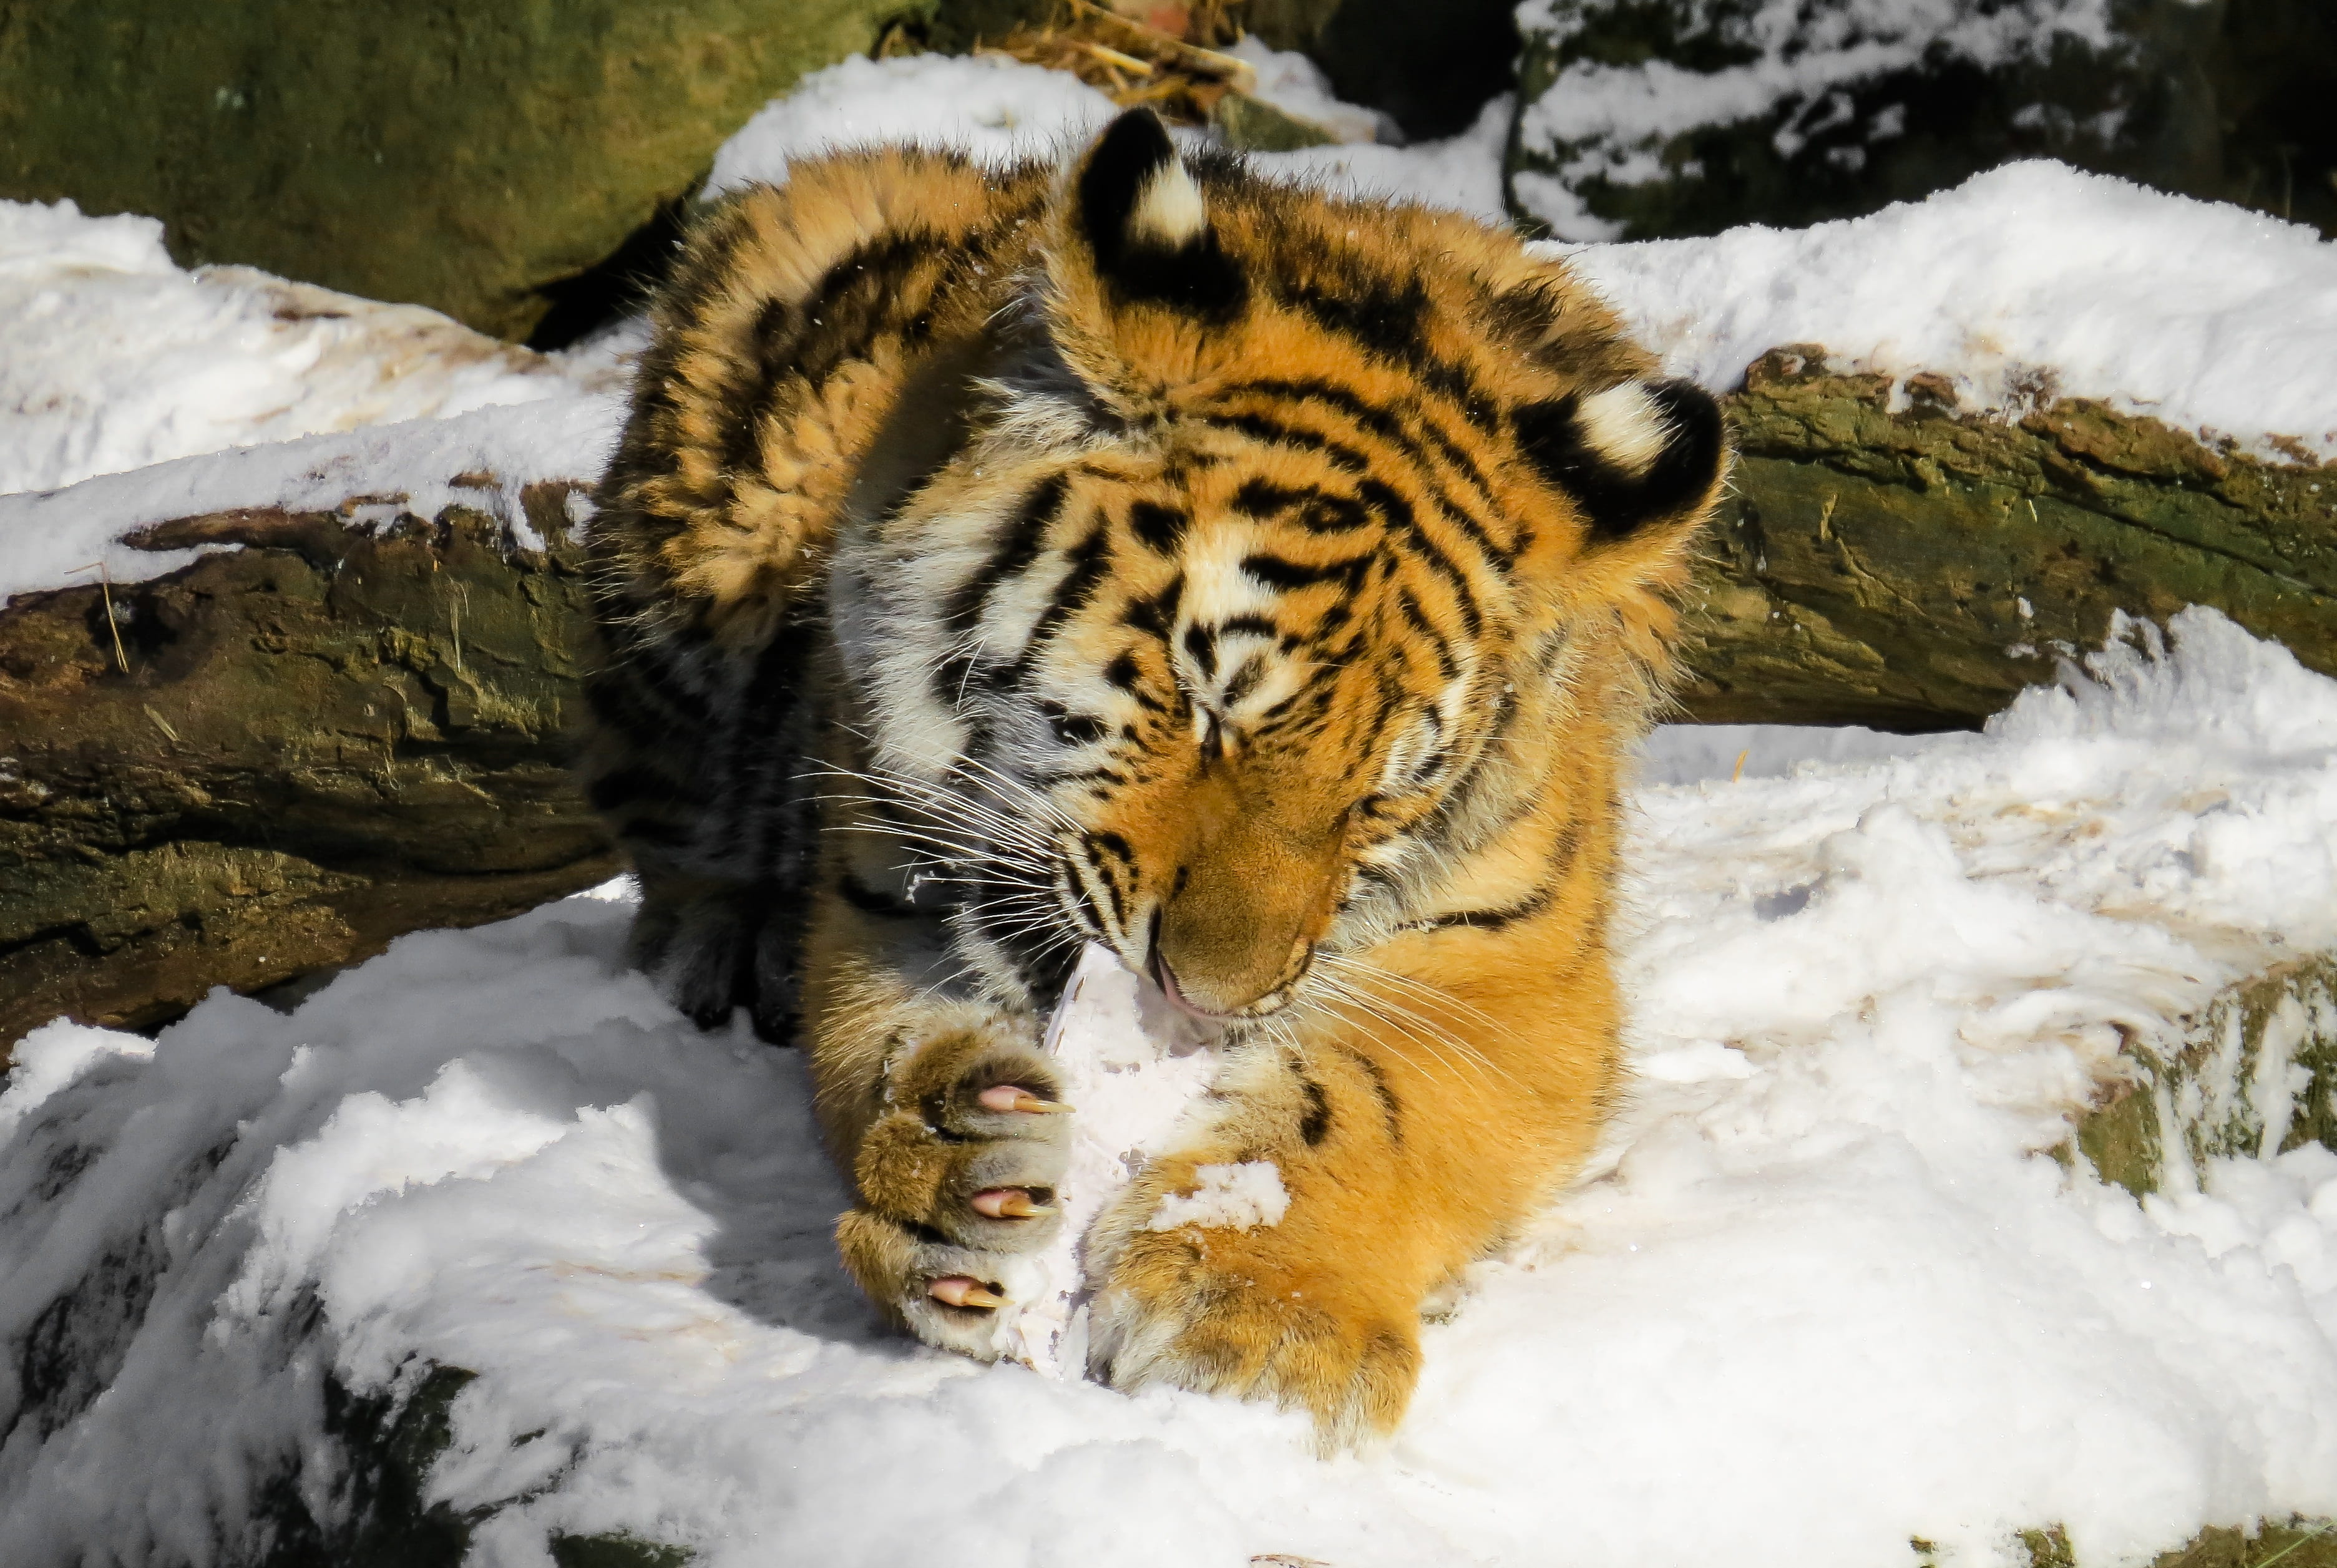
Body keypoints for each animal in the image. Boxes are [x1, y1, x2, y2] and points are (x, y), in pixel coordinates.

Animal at [581, 106, 1728, 1448]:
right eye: (1204, 701)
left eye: (1380, 790)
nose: (1214, 995)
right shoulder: (885, 887)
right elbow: (877, 1048)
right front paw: (953, 1171)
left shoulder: (1515, 965)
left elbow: (1372, 1104)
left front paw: (1257, 1314)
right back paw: (726, 934)